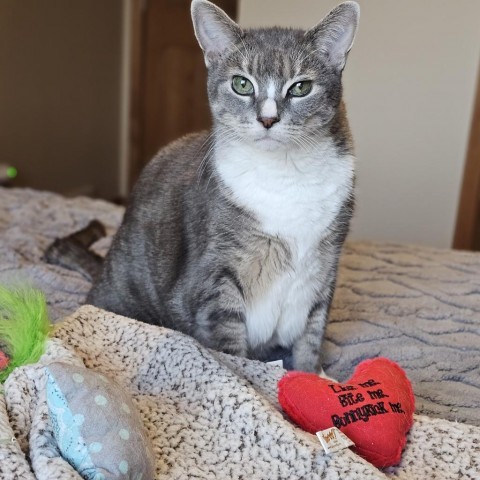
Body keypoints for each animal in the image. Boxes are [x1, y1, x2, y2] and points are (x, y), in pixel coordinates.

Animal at [47, 0, 358, 372]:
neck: (285, 174)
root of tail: (102, 275)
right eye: (241, 84)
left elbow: (312, 333)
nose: (267, 119)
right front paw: (247, 377)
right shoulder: (216, 274)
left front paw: (314, 376)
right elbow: (229, 344)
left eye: (300, 88)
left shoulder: (325, 266)